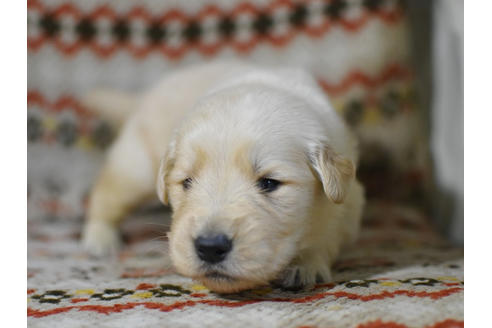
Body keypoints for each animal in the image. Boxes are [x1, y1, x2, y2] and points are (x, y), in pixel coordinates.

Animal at [81, 60, 366, 292]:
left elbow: (329, 233)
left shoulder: (349, 199)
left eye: (269, 183)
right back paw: (100, 238)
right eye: (187, 182)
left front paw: (306, 264)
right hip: (136, 169)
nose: (209, 247)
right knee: (105, 195)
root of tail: (147, 95)